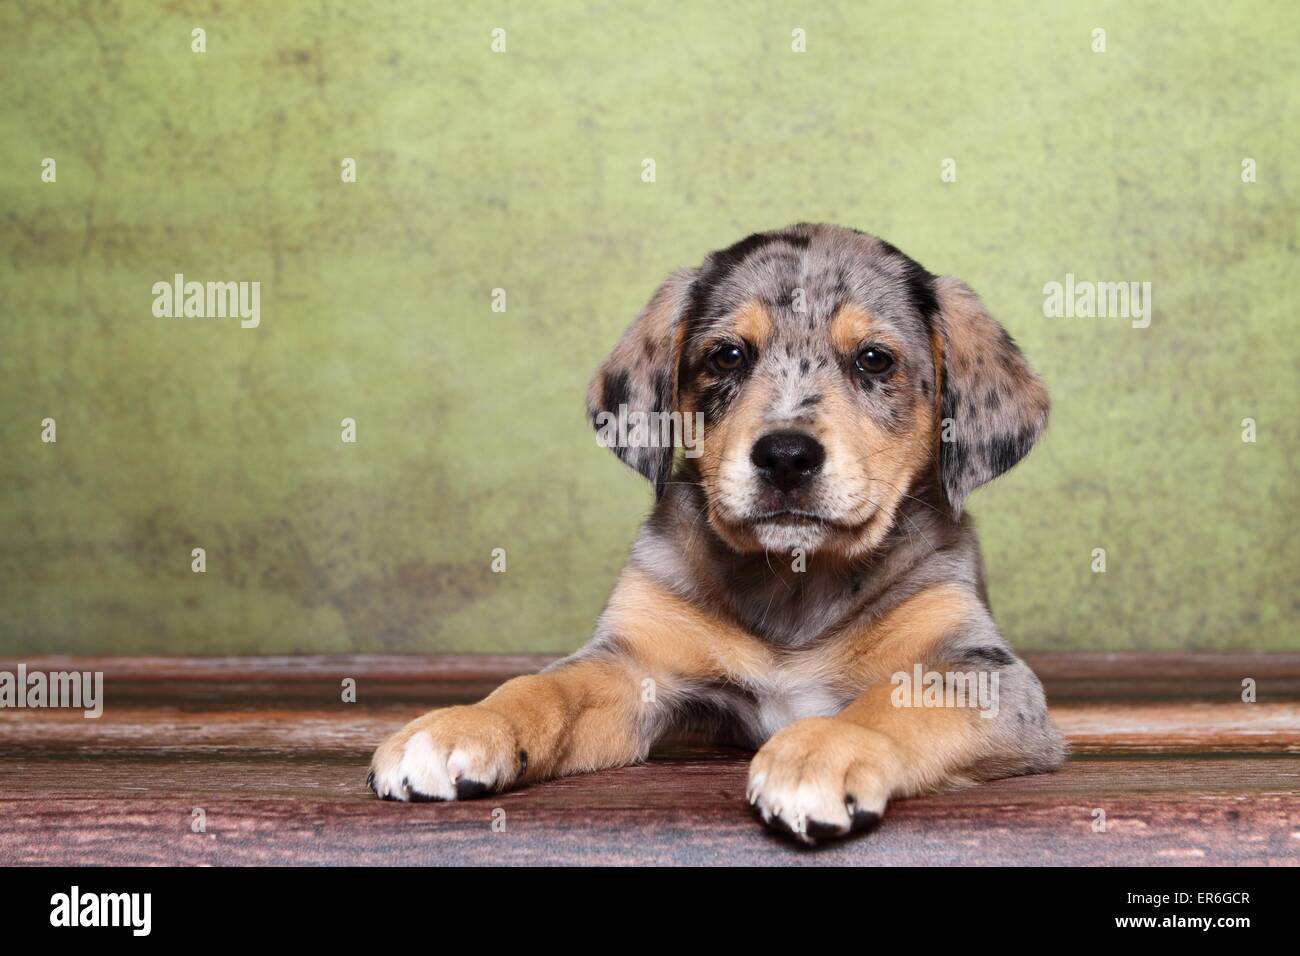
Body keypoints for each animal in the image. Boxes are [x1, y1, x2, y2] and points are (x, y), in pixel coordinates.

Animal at [371, 223, 1060, 842]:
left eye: (874, 359)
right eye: (729, 355)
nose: (786, 456)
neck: (795, 582)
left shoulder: (986, 672)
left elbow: (893, 701)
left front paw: (819, 752)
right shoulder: (637, 661)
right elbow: (545, 687)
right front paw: (458, 727)